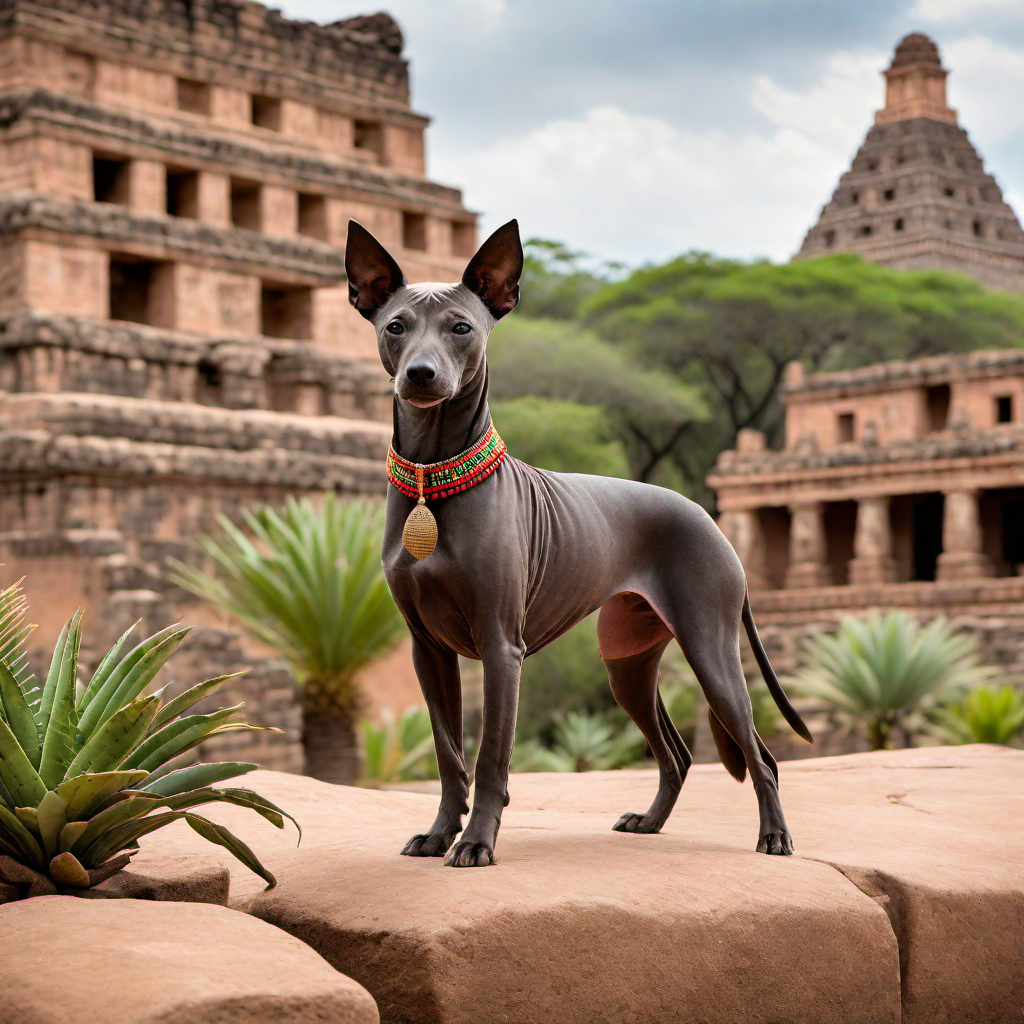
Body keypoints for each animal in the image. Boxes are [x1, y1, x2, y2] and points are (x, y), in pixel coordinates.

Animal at [348, 216, 811, 864]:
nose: (420, 375)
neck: (430, 477)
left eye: (462, 328)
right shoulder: (428, 651)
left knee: (759, 755)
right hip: (627, 664)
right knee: (677, 754)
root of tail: (708, 516)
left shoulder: (501, 648)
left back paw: (774, 836)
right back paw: (650, 822)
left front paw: (476, 842)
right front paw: (439, 834)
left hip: (711, 650)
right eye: (395, 326)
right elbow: (448, 755)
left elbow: (490, 759)